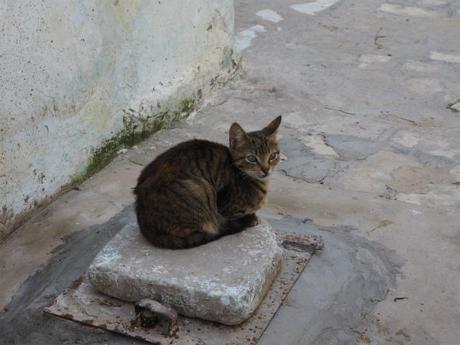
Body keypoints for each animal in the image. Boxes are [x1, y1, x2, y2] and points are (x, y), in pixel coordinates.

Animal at [135, 115, 282, 247]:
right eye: (251, 158)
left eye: (272, 156)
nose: (266, 170)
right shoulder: (226, 209)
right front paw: (252, 219)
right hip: (200, 188)